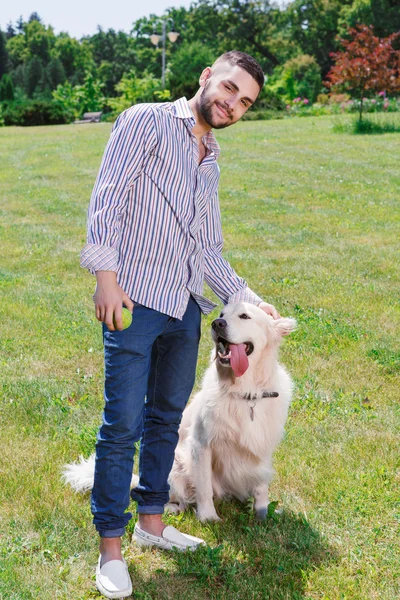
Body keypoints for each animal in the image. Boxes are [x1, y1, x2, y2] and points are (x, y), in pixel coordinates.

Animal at [62, 302, 294, 524]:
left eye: (245, 316)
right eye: (222, 314)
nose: (217, 324)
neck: (245, 392)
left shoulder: (262, 445)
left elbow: (261, 485)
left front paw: (263, 514)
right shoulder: (201, 444)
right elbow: (204, 487)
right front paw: (208, 517)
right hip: (175, 465)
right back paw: (170, 509)